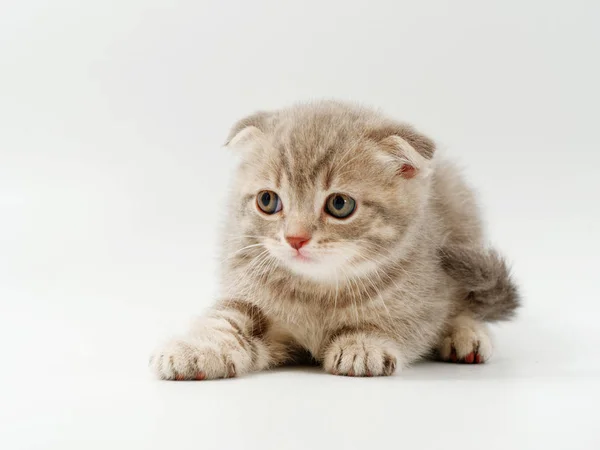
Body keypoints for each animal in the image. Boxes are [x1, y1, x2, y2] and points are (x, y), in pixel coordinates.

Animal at [148, 100, 516, 378]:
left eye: (340, 205)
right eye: (267, 201)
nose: (295, 238)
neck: (318, 292)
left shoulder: (426, 295)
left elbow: (401, 323)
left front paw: (364, 344)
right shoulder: (249, 289)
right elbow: (224, 320)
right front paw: (196, 348)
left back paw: (467, 334)